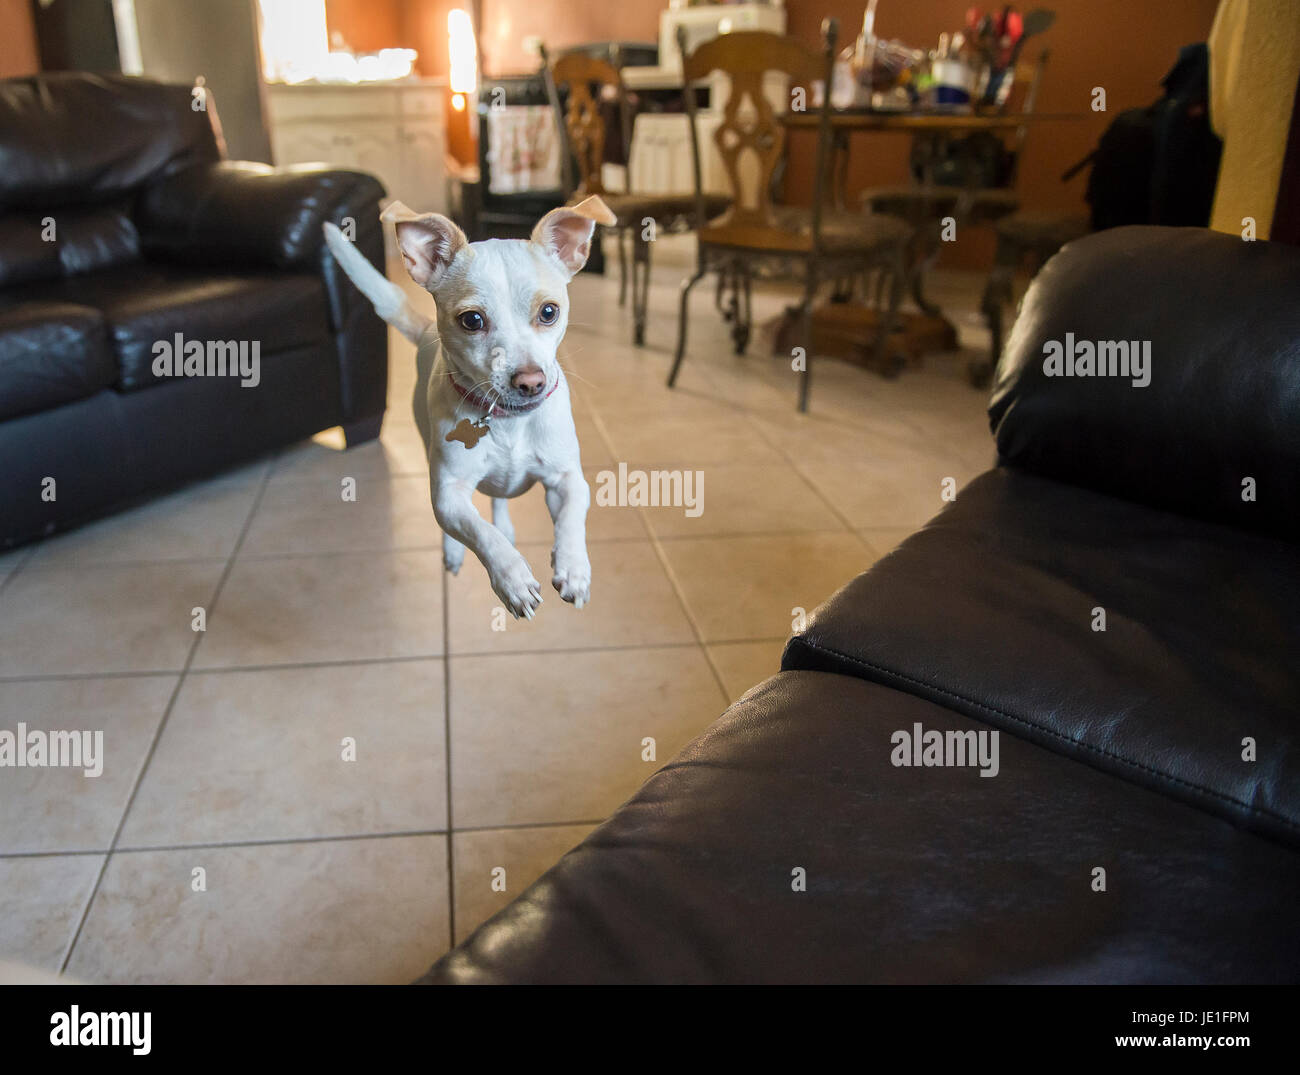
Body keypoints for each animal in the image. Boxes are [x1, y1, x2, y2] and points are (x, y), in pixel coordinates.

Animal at [322, 197, 611, 618]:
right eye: (472, 320)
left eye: (549, 312)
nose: (530, 382)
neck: (506, 423)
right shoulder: (448, 496)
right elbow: (481, 533)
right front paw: (512, 578)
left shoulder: (566, 479)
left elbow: (572, 516)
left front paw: (574, 567)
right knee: (466, 525)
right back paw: (455, 551)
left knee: (499, 501)